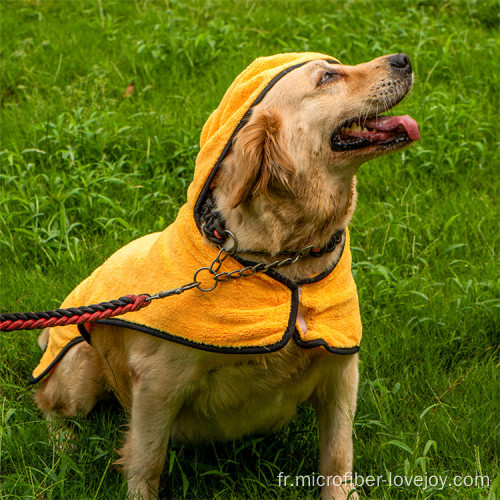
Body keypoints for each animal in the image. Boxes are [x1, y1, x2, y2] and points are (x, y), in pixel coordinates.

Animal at [33, 52, 418, 498]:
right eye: (327, 76)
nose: (403, 59)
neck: (282, 261)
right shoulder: (157, 384)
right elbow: (147, 461)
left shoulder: (341, 371)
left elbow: (338, 455)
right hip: (79, 363)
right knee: (46, 400)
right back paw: (64, 445)